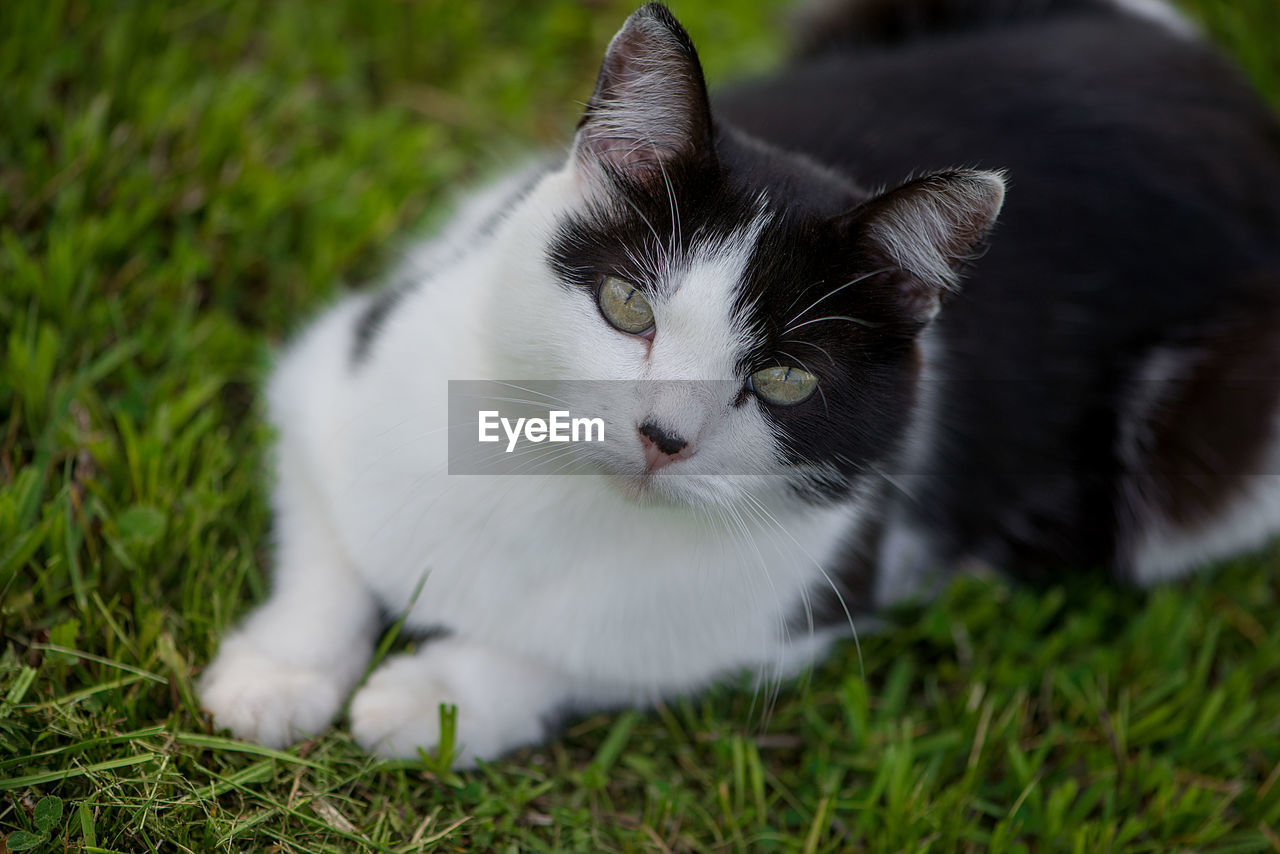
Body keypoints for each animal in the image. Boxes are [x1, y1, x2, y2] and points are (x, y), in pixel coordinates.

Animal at [199, 0, 1280, 763]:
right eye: (627, 306)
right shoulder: (340, 369)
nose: (661, 435)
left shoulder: (788, 604)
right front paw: (276, 674)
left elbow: (590, 655)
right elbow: (329, 542)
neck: (563, 500)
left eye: (786, 378)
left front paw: (436, 699)